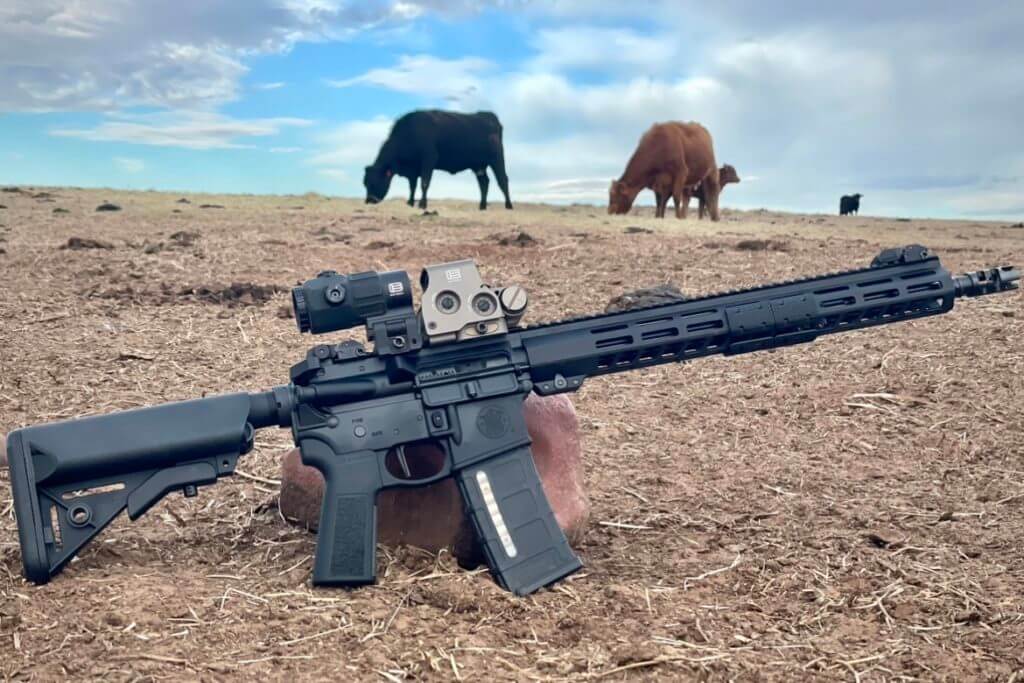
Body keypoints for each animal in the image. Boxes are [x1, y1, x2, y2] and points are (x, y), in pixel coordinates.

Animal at [366, 109, 512, 209]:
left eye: (373, 182)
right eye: (365, 183)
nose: (368, 201)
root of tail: (488, 115)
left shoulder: (428, 159)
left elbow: (424, 182)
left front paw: (422, 204)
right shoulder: (413, 169)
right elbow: (412, 186)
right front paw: (410, 202)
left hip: (497, 159)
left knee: (503, 180)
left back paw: (508, 205)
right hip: (478, 166)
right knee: (484, 183)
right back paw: (482, 206)